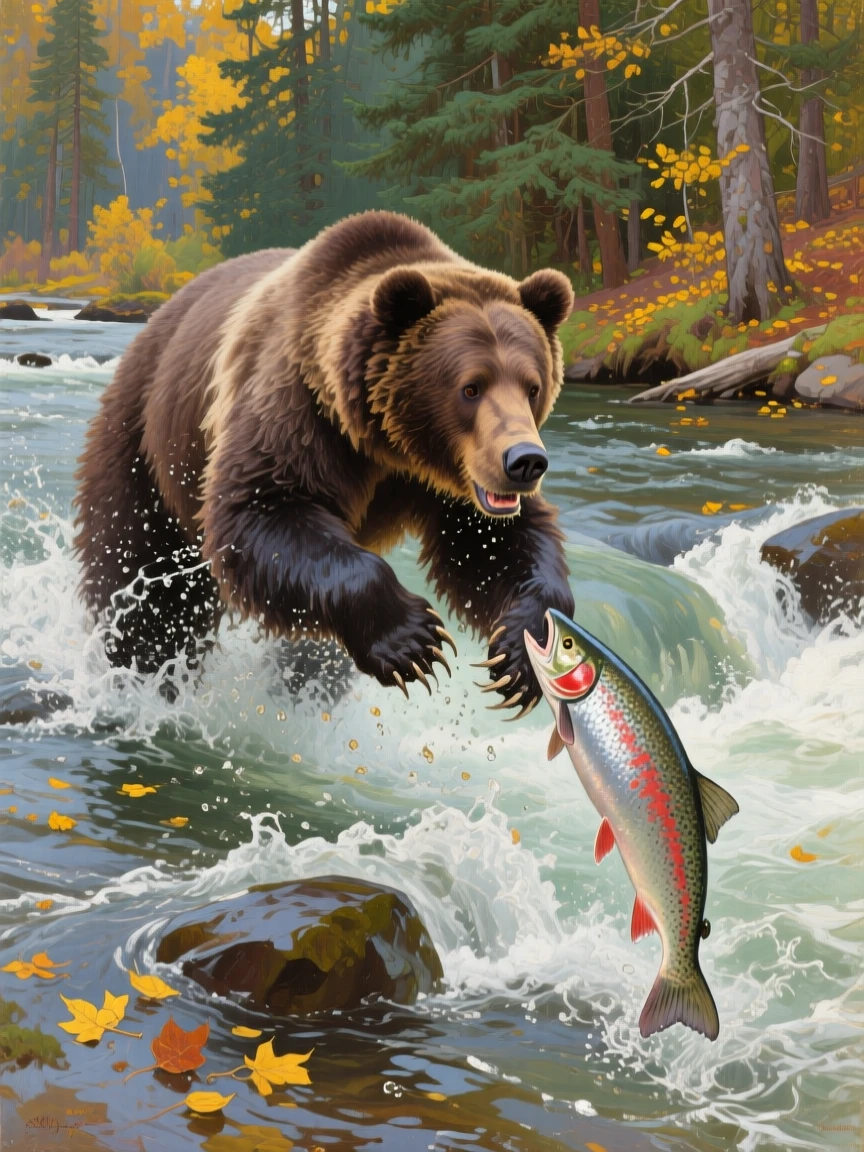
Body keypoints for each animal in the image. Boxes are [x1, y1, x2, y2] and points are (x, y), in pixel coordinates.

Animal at [73, 210, 576, 715]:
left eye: (532, 386)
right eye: (471, 387)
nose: (525, 461)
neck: (386, 443)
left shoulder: (451, 483)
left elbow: (494, 544)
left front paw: (522, 653)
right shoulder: (299, 412)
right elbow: (262, 510)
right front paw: (413, 639)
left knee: (311, 652)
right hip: (148, 440)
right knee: (144, 582)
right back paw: (144, 677)